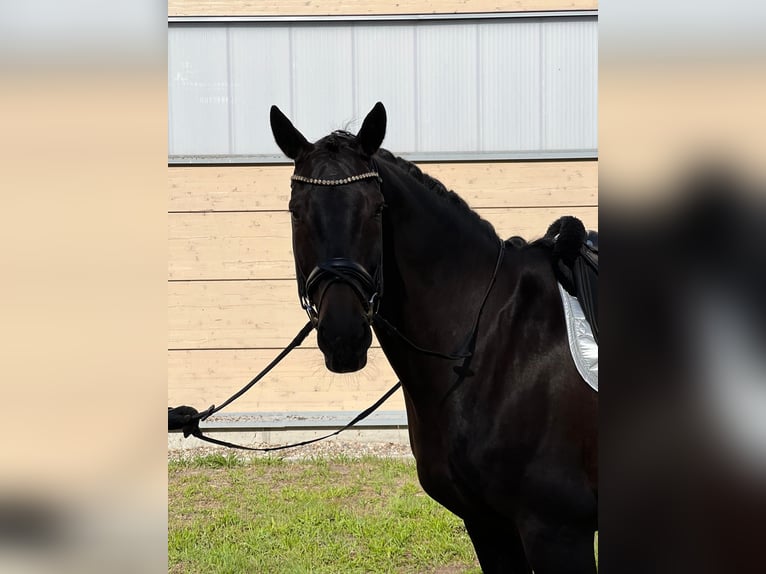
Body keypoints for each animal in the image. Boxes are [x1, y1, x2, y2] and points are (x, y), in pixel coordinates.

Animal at [269, 102, 598, 573]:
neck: (494, 341)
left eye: (376, 210)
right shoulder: (488, 526)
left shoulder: (558, 532)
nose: (344, 337)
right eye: (296, 211)